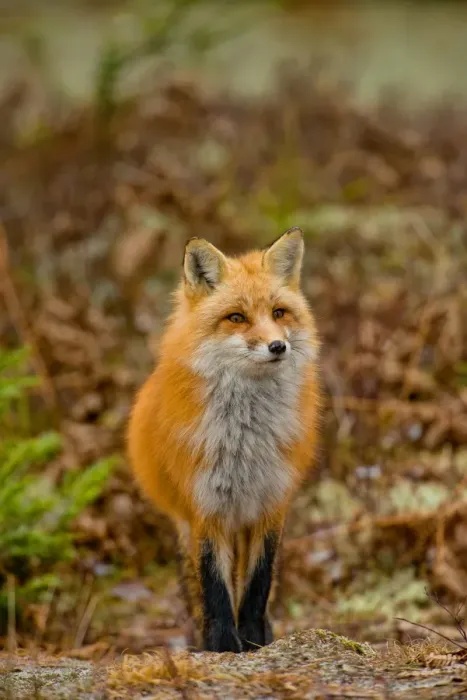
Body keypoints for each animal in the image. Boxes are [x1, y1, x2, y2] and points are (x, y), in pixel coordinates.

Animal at [127, 227, 320, 653]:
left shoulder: (271, 505)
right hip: (186, 522)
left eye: (278, 313)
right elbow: (215, 590)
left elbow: (257, 586)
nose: (278, 346)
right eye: (236, 318)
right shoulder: (206, 508)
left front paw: (254, 643)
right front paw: (223, 646)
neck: (245, 441)